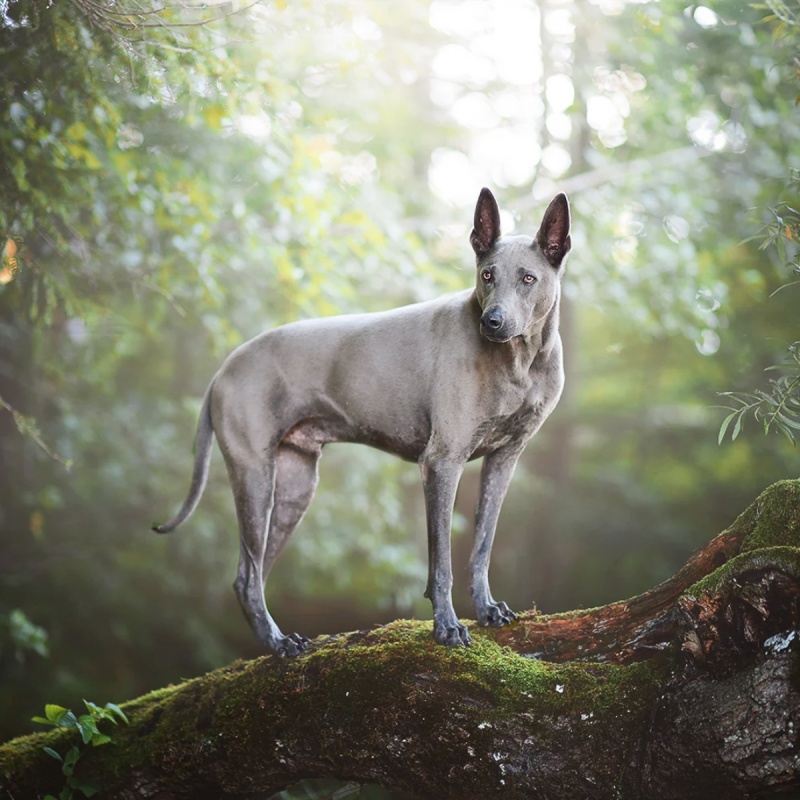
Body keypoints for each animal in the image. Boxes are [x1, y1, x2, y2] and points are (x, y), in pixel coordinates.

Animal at [153, 188, 572, 656]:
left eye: (528, 278)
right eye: (486, 275)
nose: (492, 322)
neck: (519, 361)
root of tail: (223, 369)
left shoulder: (503, 461)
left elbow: (481, 546)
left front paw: (487, 610)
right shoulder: (441, 464)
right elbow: (441, 562)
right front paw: (446, 627)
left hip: (294, 488)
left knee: (253, 573)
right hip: (254, 477)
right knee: (248, 576)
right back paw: (279, 644)